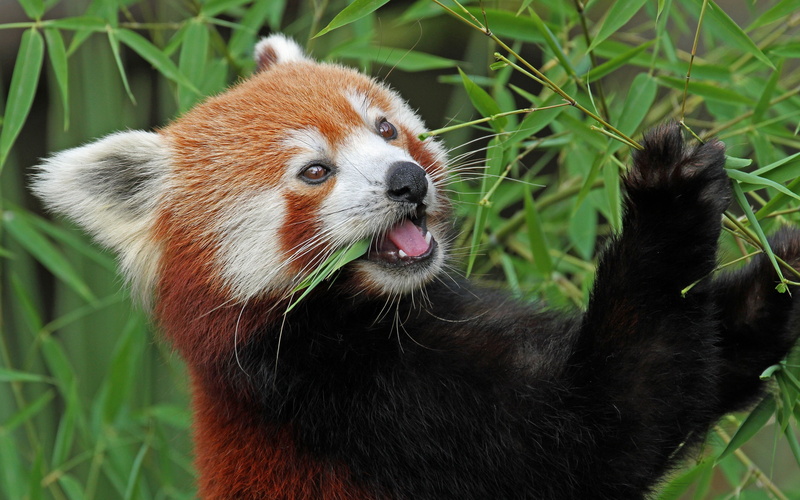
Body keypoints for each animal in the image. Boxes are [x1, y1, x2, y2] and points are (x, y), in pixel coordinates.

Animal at [31, 34, 800, 499]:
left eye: (385, 128)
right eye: (315, 171)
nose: (407, 181)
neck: (374, 311)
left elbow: (702, 368)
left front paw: (781, 270)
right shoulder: (360, 408)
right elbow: (609, 424)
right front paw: (669, 200)